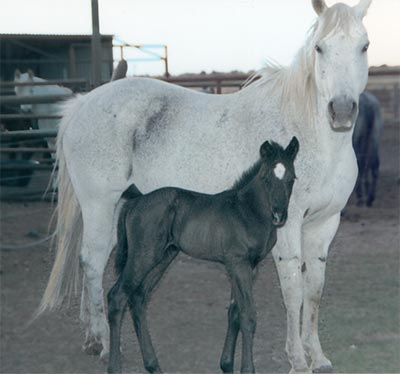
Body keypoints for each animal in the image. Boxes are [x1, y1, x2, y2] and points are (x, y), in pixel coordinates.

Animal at [108, 137, 298, 374]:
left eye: (292, 178)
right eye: (266, 178)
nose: (279, 215)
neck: (248, 211)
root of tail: (135, 202)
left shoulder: (249, 267)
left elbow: (234, 312)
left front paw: (226, 365)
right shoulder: (239, 264)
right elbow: (248, 315)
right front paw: (247, 369)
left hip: (163, 257)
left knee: (138, 297)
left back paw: (154, 365)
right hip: (143, 256)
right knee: (117, 297)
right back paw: (115, 367)